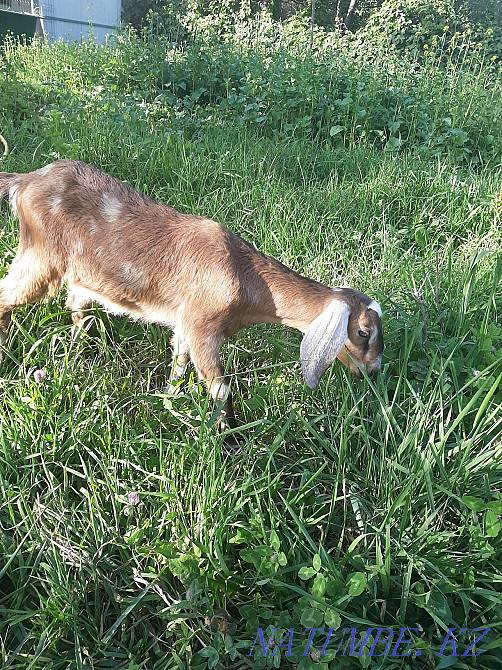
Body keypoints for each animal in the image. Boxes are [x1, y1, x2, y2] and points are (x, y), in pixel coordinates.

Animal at [0, 160, 383, 432]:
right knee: (7, 296)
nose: (373, 372)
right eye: (363, 332)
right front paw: (230, 441)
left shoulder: (185, 322)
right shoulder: (203, 328)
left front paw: (168, 401)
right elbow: (221, 389)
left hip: (78, 275)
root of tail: (23, 181)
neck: (244, 275)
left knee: (75, 306)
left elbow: (179, 365)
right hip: (40, 256)